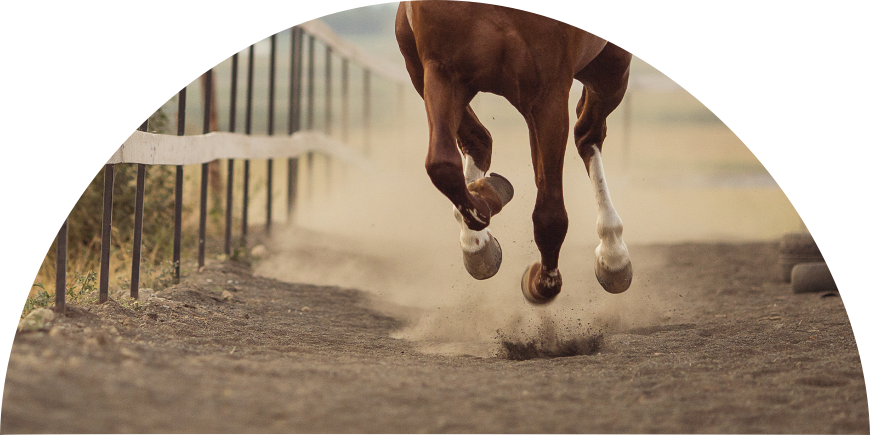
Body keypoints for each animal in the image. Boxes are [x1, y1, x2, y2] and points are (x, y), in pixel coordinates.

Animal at [395, 0, 633, 304]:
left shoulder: (548, 95)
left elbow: (550, 214)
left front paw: (541, 283)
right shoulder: (441, 73)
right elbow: (442, 166)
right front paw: (489, 204)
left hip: (610, 71)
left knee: (587, 135)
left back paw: (614, 255)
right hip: (419, 69)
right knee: (478, 141)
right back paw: (477, 238)